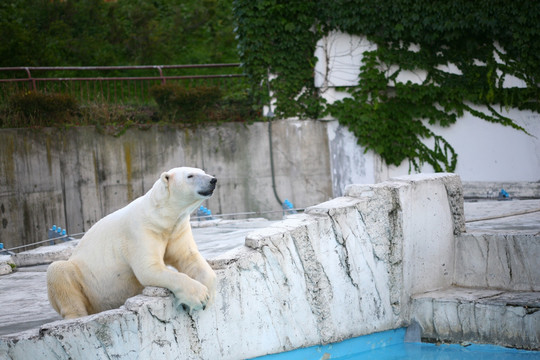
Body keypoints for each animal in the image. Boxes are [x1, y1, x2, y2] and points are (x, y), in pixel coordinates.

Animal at [44, 167, 217, 320]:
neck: (160, 216)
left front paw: (209, 296)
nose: (213, 180)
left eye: (202, 171)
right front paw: (200, 297)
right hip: (84, 280)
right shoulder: (140, 231)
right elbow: (149, 269)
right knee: (58, 271)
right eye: (190, 175)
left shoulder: (177, 229)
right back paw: (77, 315)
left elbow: (189, 257)